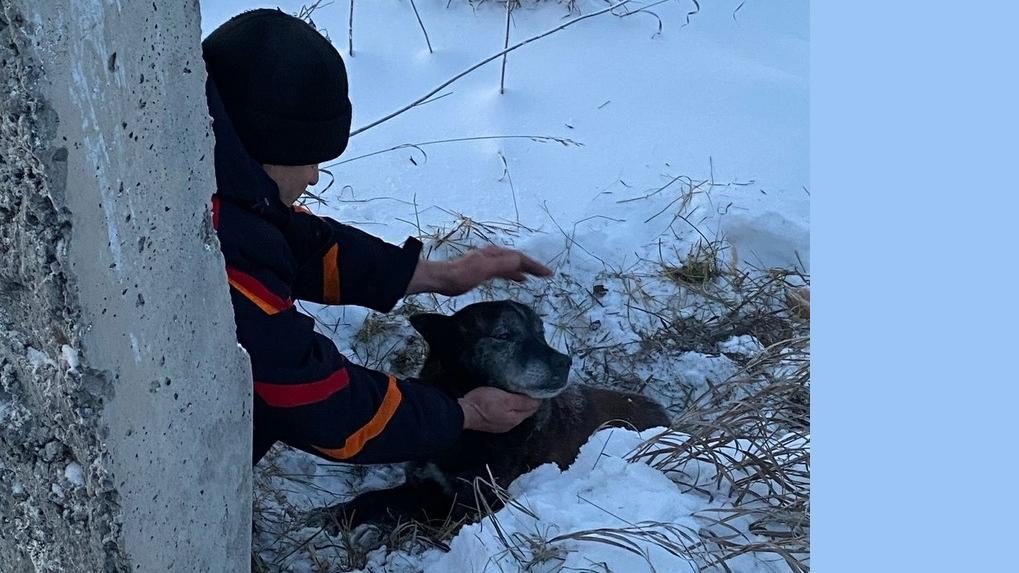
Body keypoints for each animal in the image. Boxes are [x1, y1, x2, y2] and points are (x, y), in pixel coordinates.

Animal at [317, 301, 668, 530]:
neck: (468, 431)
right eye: (503, 335)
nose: (564, 362)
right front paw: (337, 515)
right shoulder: (423, 482)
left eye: (540, 333)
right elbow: (373, 498)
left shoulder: (472, 502)